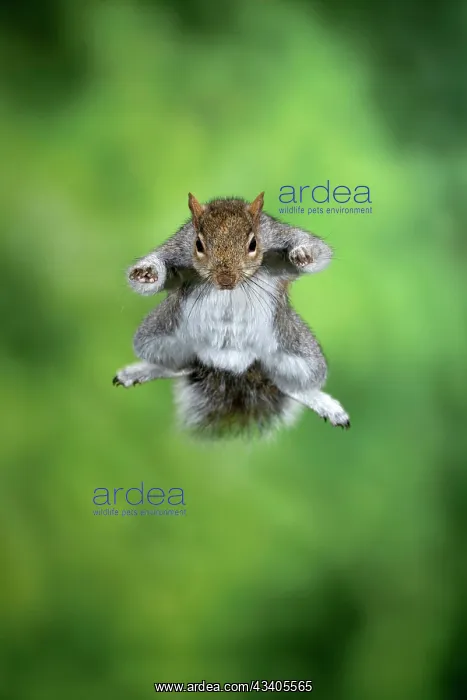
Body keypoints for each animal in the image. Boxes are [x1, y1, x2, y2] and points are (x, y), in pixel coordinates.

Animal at [113, 192, 350, 438]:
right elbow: (159, 268)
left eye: (253, 244)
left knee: (289, 385)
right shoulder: (178, 246)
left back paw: (325, 404)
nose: (226, 280)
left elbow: (318, 250)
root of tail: (229, 367)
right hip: (156, 336)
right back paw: (141, 371)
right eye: (198, 244)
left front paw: (302, 253)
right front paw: (147, 272)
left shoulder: (276, 233)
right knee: (179, 366)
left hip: (300, 354)